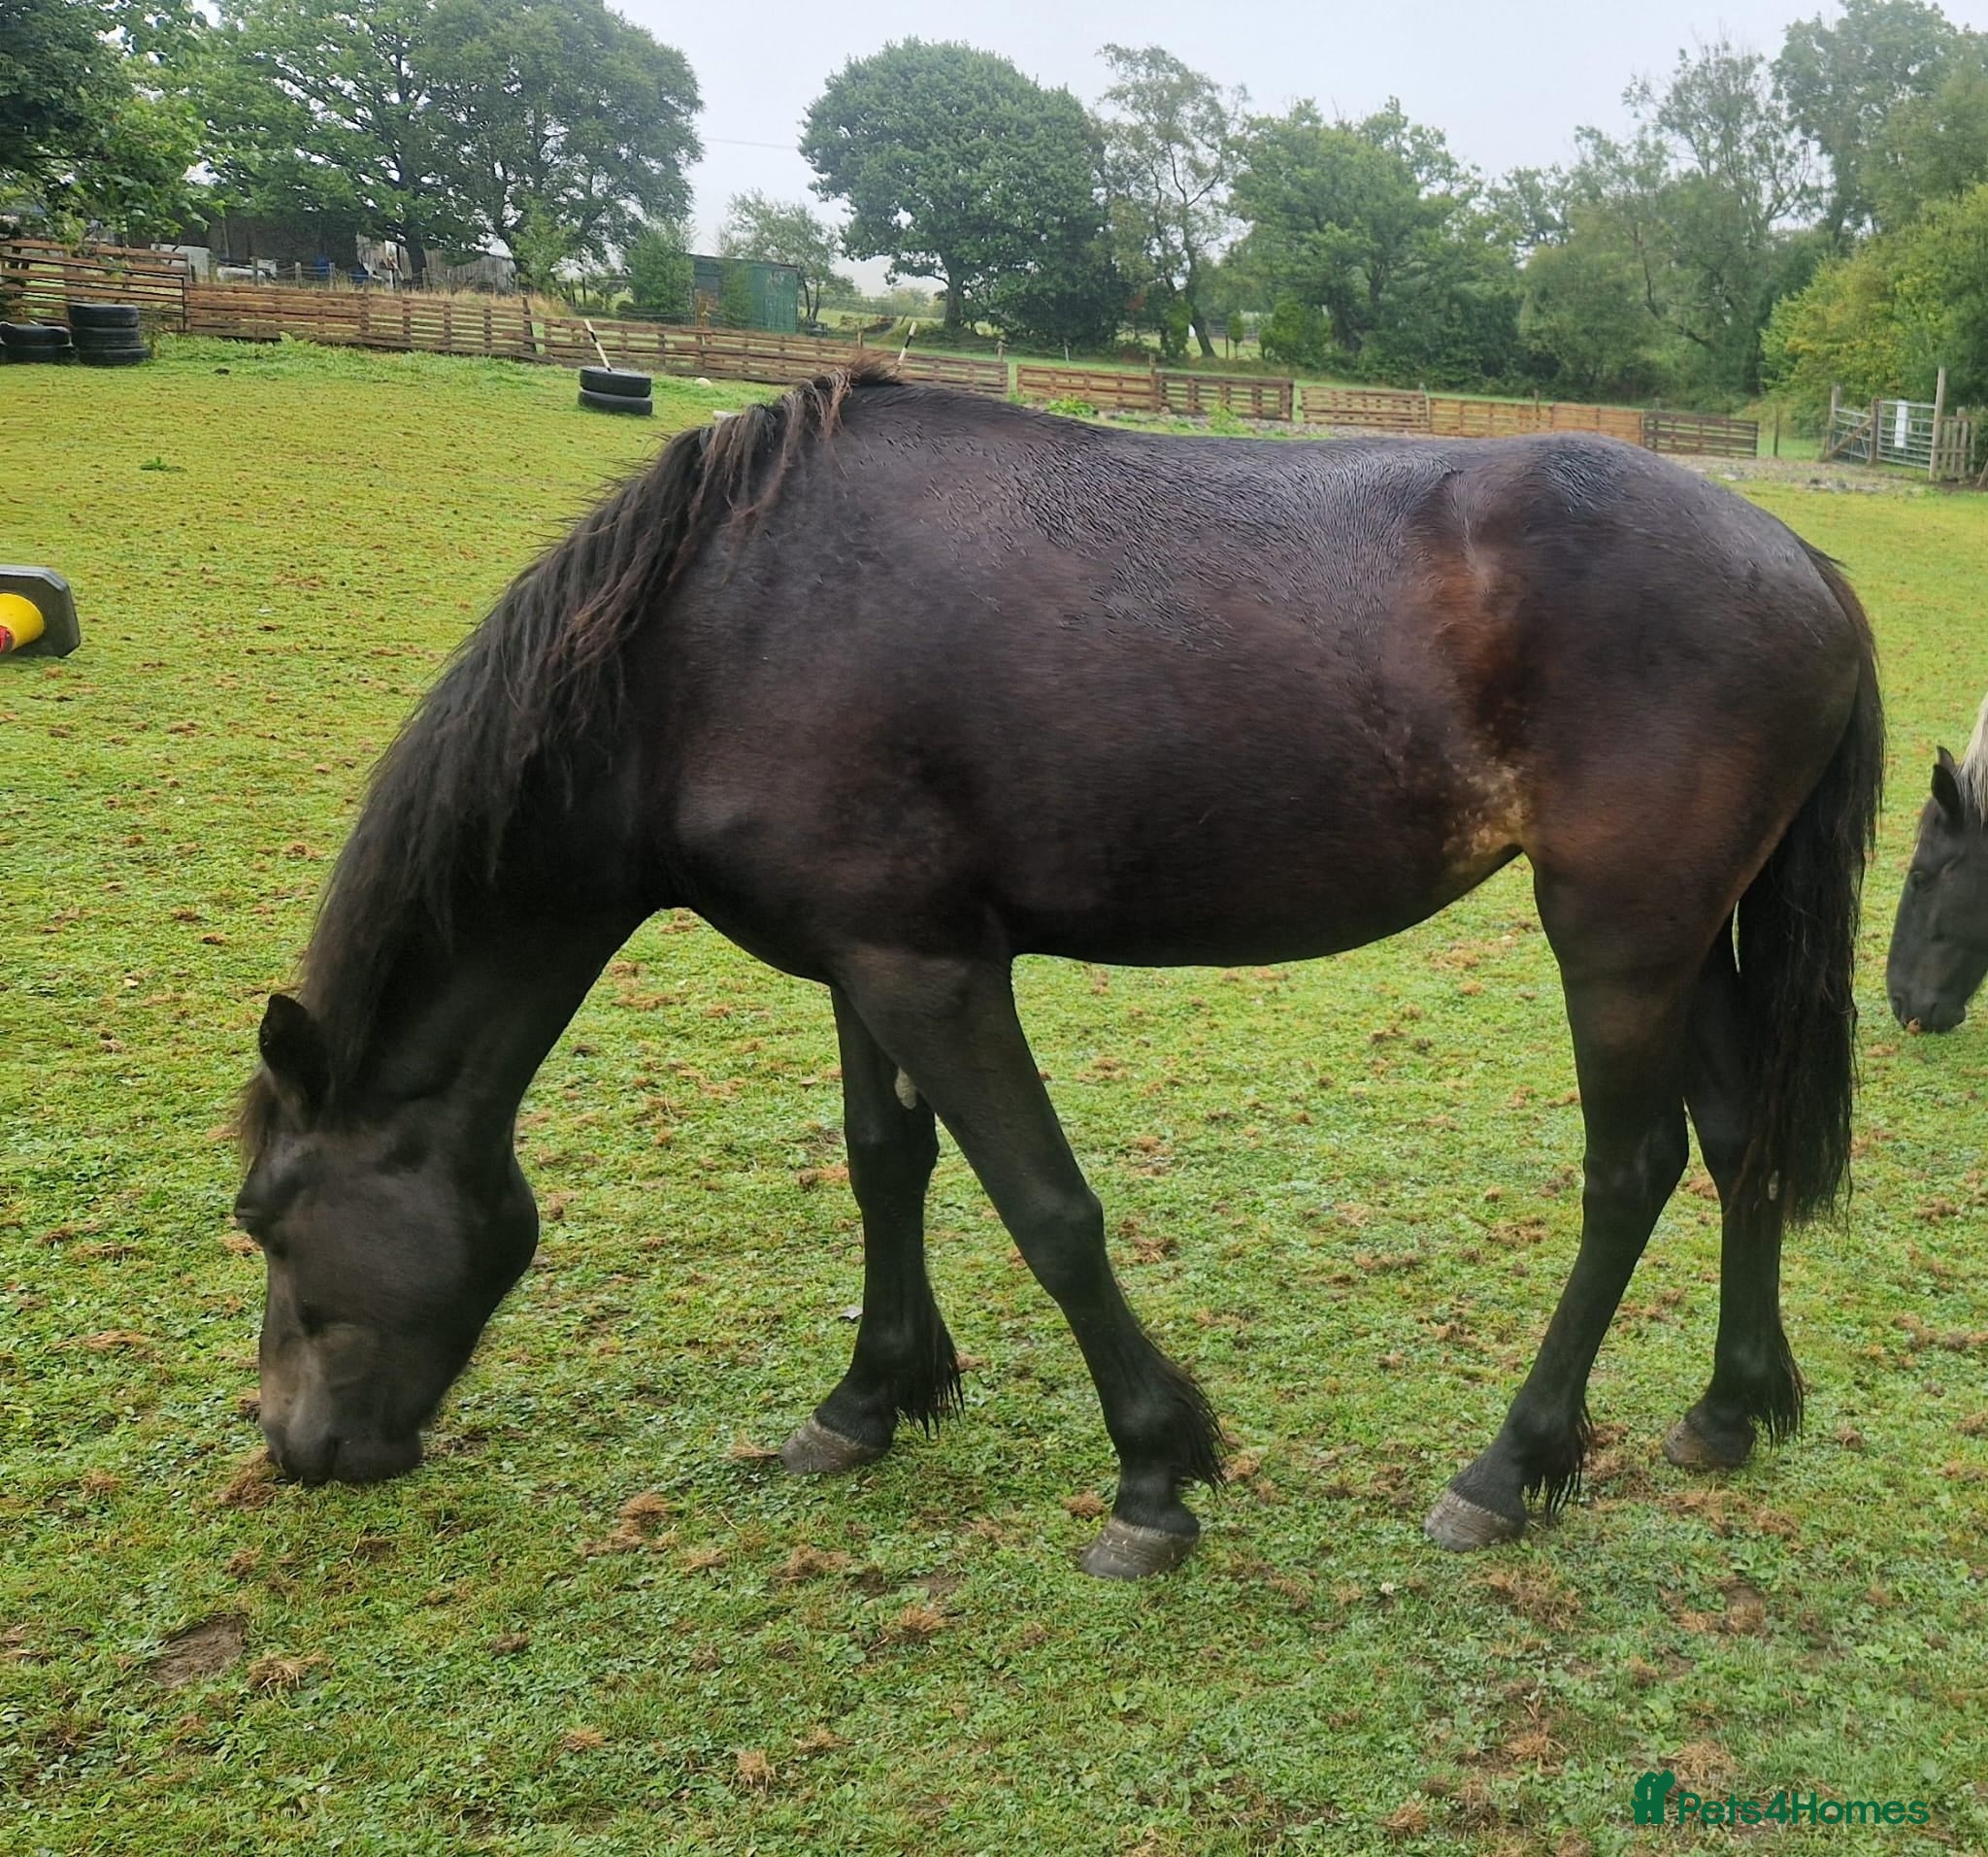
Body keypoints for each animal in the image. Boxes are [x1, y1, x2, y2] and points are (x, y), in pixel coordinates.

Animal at [235, 364, 1883, 1579]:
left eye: (264, 1219)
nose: (296, 1449)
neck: (720, 634)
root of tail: (1805, 561)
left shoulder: (935, 970)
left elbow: (1049, 1211)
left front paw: (1152, 1477)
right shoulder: (862, 957)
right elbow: (884, 1160)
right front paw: (869, 1398)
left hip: (1618, 939)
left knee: (1632, 1173)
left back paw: (1511, 1465)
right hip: (1697, 939)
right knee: (1740, 1142)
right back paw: (1730, 1410)